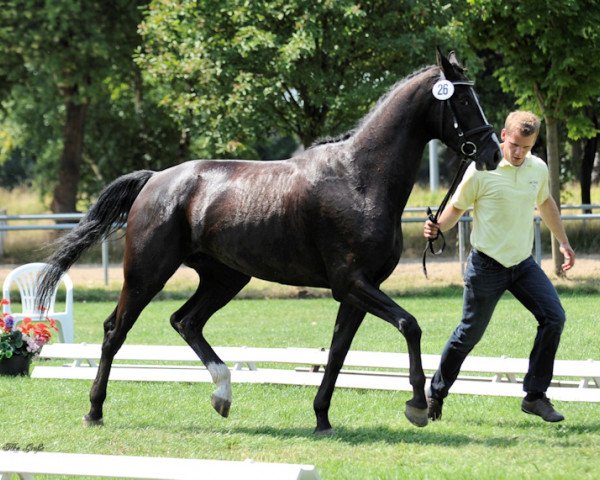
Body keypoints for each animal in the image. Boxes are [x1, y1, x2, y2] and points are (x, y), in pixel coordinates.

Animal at [35, 50, 500, 434]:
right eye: (462, 100)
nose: (493, 151)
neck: (359, 178)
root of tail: (155, 180)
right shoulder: (352, 283)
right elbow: (409, 324)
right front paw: (418, 406)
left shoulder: (356, 291)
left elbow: (337, 352)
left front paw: (322, 418)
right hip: (147, 274)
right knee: (116, 330)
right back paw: (94, 411)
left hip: (225, 278)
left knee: (186, 321)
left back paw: (222, 395)